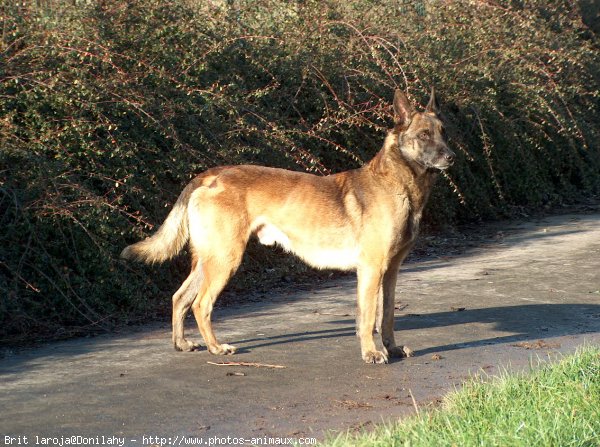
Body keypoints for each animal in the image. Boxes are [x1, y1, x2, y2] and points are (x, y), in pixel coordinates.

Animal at [120, 87, 454, 364]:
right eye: (424, 135)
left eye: (443, 132)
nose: (451, 157)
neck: (399, 183)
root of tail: (211, 174)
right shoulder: (371, 270)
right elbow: (368, 317)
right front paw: (372, 353)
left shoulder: (391, 272)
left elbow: (387, 317)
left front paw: (391, 348)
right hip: (226, 259)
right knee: (201, 305)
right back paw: (217, 347)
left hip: (208, 260)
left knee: (180, 298)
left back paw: (182, 343)